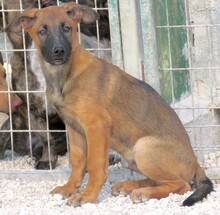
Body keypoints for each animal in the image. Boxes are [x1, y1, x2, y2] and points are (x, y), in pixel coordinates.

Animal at [6, 2, 213, 207]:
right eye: (42, 31)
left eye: (67, 28)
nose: (59, 51)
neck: (65, 76)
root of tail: (196, 163)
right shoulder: (73, 128)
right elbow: (77, 161)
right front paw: (70, 188)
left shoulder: (96, 125)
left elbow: (95, 164)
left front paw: (87, 196)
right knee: (162, 180)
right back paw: (130, 185)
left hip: (144, 147)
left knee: (182, 184)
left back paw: (144, 192)